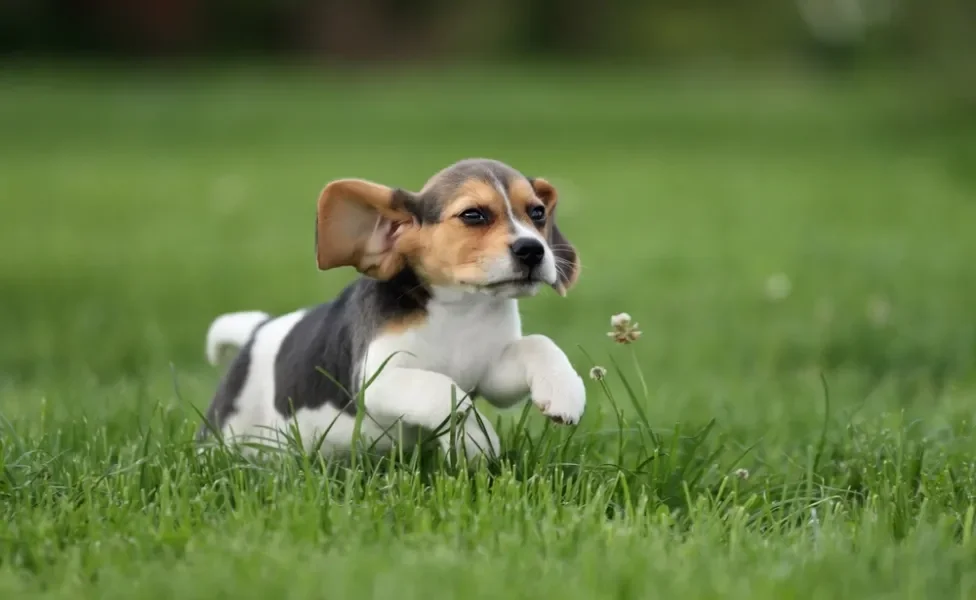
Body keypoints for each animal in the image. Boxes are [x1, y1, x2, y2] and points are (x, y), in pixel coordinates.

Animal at [194, 157, 584, 462]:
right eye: (473, 215)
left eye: (537, 213)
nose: (533, 250)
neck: (459, 310)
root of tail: (257, 329)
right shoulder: (378, 380)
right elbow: (444, 390)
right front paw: (476, 439)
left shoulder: (490, 375)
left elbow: (538, 345)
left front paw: (564, 389)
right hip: (227, 429)